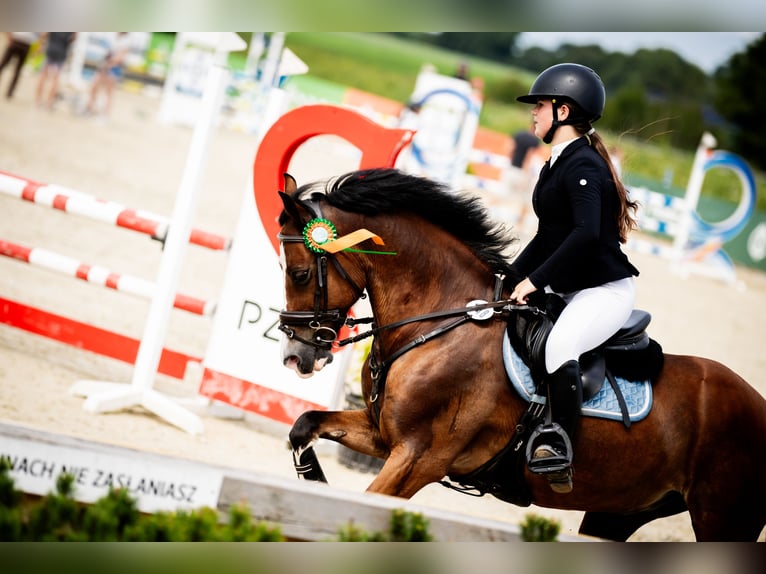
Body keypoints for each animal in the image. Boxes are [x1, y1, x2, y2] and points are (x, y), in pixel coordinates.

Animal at [276, 168, 766, 544]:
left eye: (299, 273)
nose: (296, 356)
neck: (438, 321)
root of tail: (757, 403)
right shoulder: (383, 436)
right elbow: (304, 425)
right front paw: (312, 480)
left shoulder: (419, 458)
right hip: (620, 510)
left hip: (722, 518)